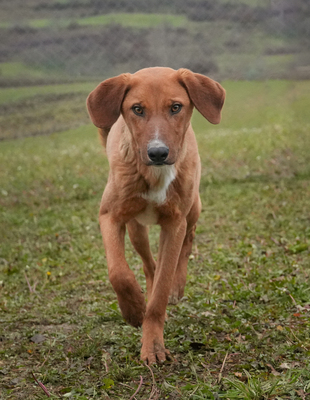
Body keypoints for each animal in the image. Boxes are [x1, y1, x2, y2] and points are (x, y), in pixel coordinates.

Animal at [86, 67, 224, 364]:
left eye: (176, 107)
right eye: (137, 109)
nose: (158, 153)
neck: (154, 174)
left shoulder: (174, 224)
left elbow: (162, 288)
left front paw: (153, 344)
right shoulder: (110, 216)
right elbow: (119, 272)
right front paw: (134, 309)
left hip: (193, 208)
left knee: (187, 242)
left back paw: (177, 286)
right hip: (136, 228)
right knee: (149, 265)